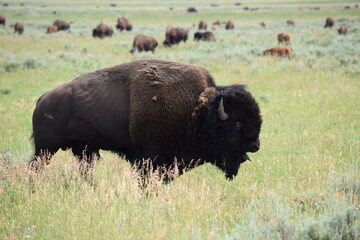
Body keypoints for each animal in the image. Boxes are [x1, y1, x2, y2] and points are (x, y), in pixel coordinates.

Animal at [30, 59, 262, 181]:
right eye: (237, 124)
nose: (255, 145)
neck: (195, 111)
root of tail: (43, 99)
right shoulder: (148, 159)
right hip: (45, 148)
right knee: (34, 167)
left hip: (84, 151)